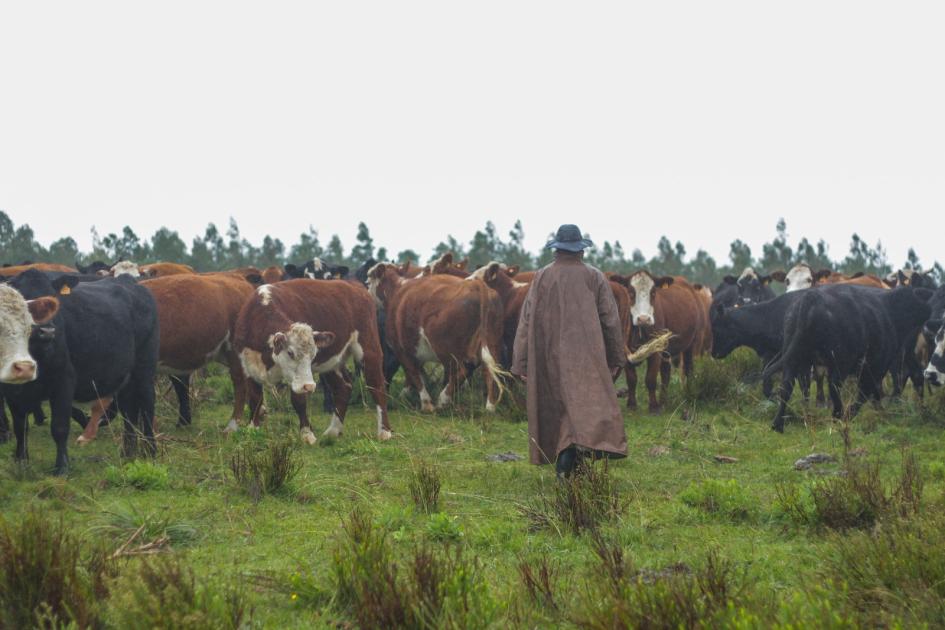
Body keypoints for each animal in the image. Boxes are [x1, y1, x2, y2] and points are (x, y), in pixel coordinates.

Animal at [0, 270, 160, 474]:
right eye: (26, 300)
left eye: (53, 299)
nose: (47, 331)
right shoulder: (11, 390)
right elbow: (21, 427)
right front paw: (21, 461)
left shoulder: (64, 380)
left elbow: (60, 426)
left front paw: (62, 466)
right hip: (126, 376)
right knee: (129, 409)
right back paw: (128, 453)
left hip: (145, 367)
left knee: (147, 404)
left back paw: (150, 451)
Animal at [234, 278, 392, 446]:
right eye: (290, 352)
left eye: (313, 355)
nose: (309, 386)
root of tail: (353, 284)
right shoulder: (247, 367)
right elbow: (255, 398)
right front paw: (252, 429)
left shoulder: (298, 380)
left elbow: (298, 401)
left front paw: (306, 433)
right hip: (331, 363)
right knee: (343, 387)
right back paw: (333, 431)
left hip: (369, 349)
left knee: (377, 386)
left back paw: (384, 431)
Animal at [366, 262, 506, 414]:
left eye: (368, 282)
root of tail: (478, 285)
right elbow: (418, 374)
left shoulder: (401, 350)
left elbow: (414, 374)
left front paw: (426, 403)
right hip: (492, 342)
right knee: (489, 370)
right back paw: (490, 407)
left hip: (446, 349)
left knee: (463, 370)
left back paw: (443, 400)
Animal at [760, 288, 928, 432]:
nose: (928, 311)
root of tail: (812, 298)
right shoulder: (875, 367)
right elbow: (867, 392)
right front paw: (852, 413)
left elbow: (873, 394)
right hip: (840, 363)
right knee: (834, 386)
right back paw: (838, 414)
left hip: (794, 358)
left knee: (787, 386)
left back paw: (778, 424)